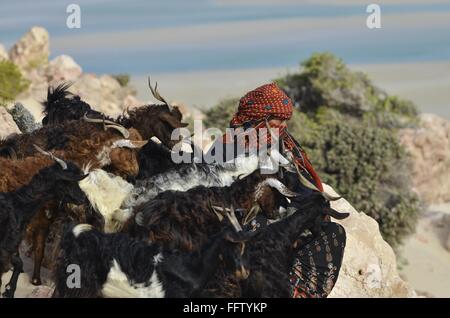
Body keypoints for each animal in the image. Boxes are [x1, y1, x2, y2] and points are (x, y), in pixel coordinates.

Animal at [0, 159, 87, 298]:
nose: (83, 198)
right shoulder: (5, 249)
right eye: (70, 182)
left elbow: (19, 263)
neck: (19, 205)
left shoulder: (10, 249)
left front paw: (8, 290)